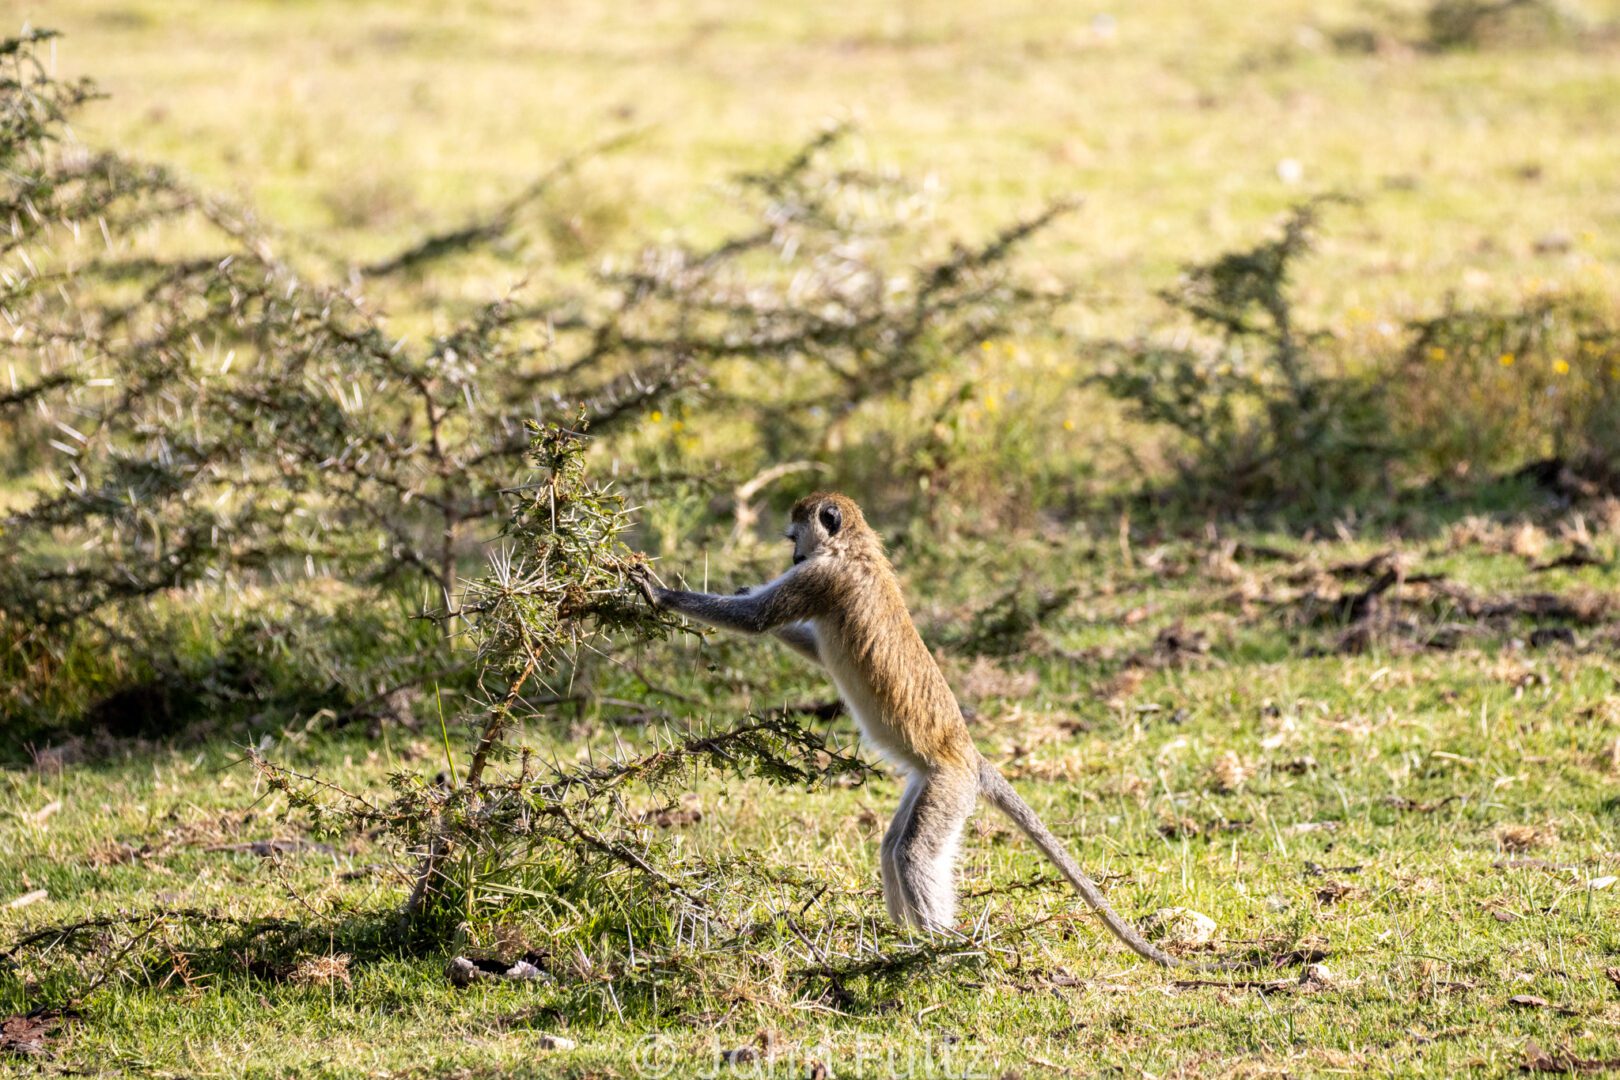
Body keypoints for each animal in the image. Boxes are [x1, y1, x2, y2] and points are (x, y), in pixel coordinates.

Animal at [631, 495, 1218, 965]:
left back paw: (936, 945)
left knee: (911, 853)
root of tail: (970, 756)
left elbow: (756, 620)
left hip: (948, 787)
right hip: (930, 784)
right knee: (894, 845)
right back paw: (904, 939)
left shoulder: (822, 580)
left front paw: (661, 593)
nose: (793, 558)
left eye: (796, 539)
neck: (856, 550)